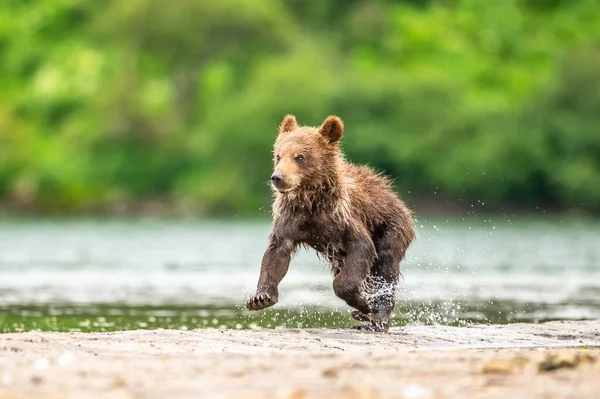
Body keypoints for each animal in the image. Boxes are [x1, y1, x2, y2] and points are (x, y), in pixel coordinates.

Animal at [246, 115, 414, 332]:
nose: (278, 178)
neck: (311, 200)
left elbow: (361, 247)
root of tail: (392, 194)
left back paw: (376, 318)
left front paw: (363, 302)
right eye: (278, 156)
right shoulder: (291, 218)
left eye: (300, 157)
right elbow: (276, 253)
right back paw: (363, 317)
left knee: (385, 266)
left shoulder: (342, 217)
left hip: (391, 226)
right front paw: (261, 297)